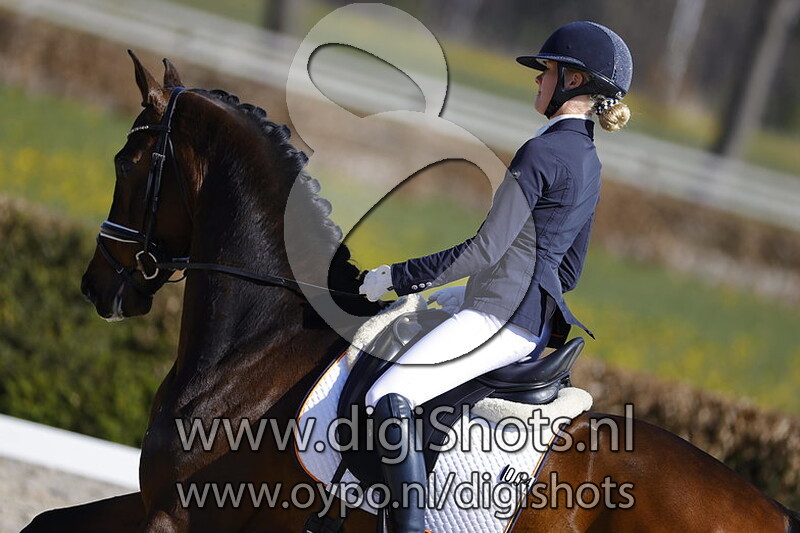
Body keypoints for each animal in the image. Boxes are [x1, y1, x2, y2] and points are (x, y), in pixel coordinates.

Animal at [23, 53, 799, 533]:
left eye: (126, 160)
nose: (99, 283)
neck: (257, 351)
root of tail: (769, 509)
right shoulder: (157, 507)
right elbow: (43, 519)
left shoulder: (180, 515)